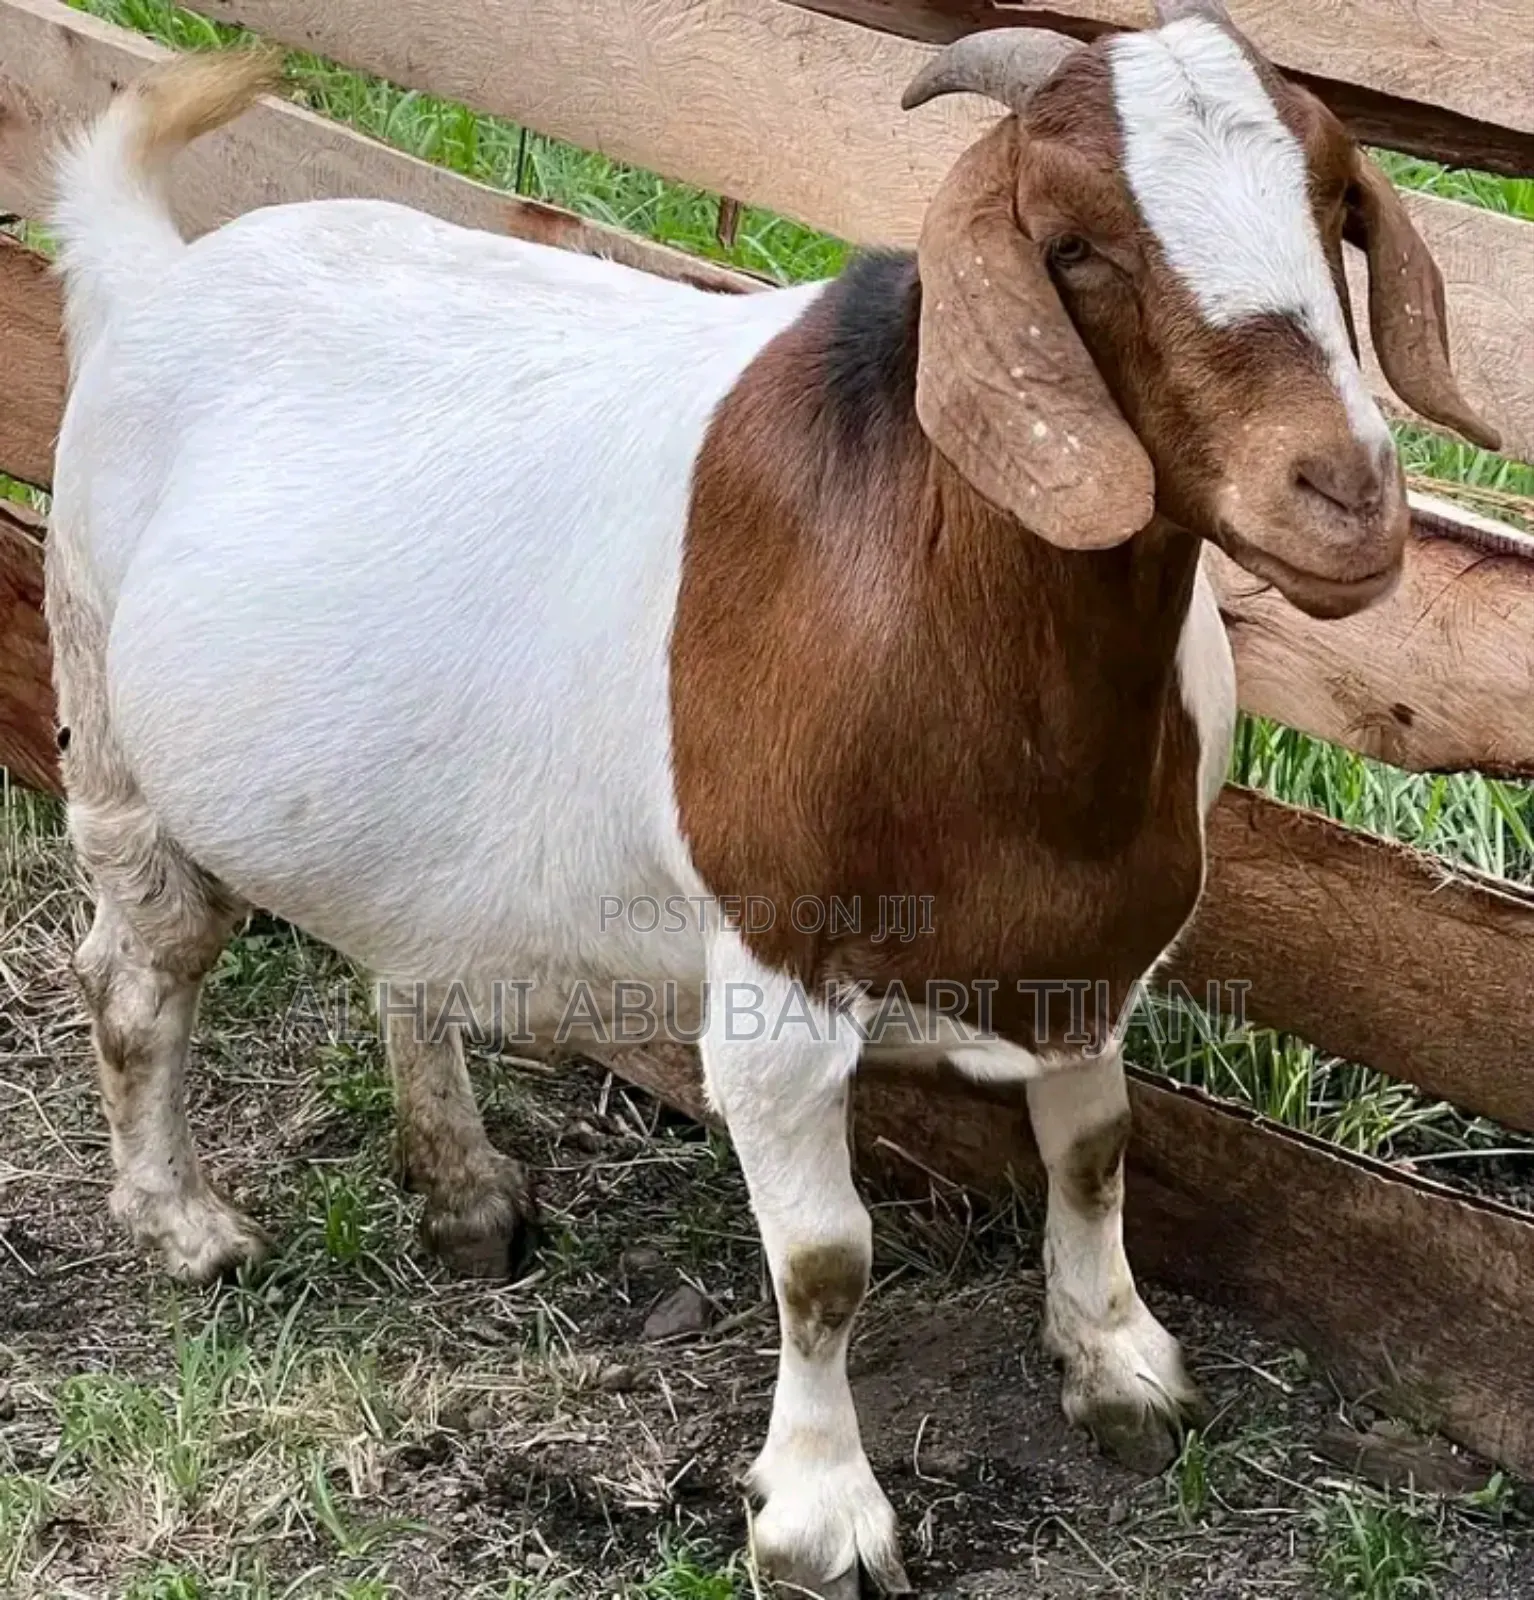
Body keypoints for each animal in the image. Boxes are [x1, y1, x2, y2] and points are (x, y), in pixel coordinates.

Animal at [46, 3, 1494, 1593]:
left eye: (1335, 203)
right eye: (1072, 244)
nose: (1344, 495)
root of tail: (159, 271)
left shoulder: (1088, 938)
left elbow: (1096, 1151)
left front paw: (1119, 1369)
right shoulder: (773, 969)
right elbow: (822, 1261)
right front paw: (819, 1517)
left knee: (401, 957)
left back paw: (466, 1193)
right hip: (103, 694)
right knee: (137, 972)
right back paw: (186, 1226)